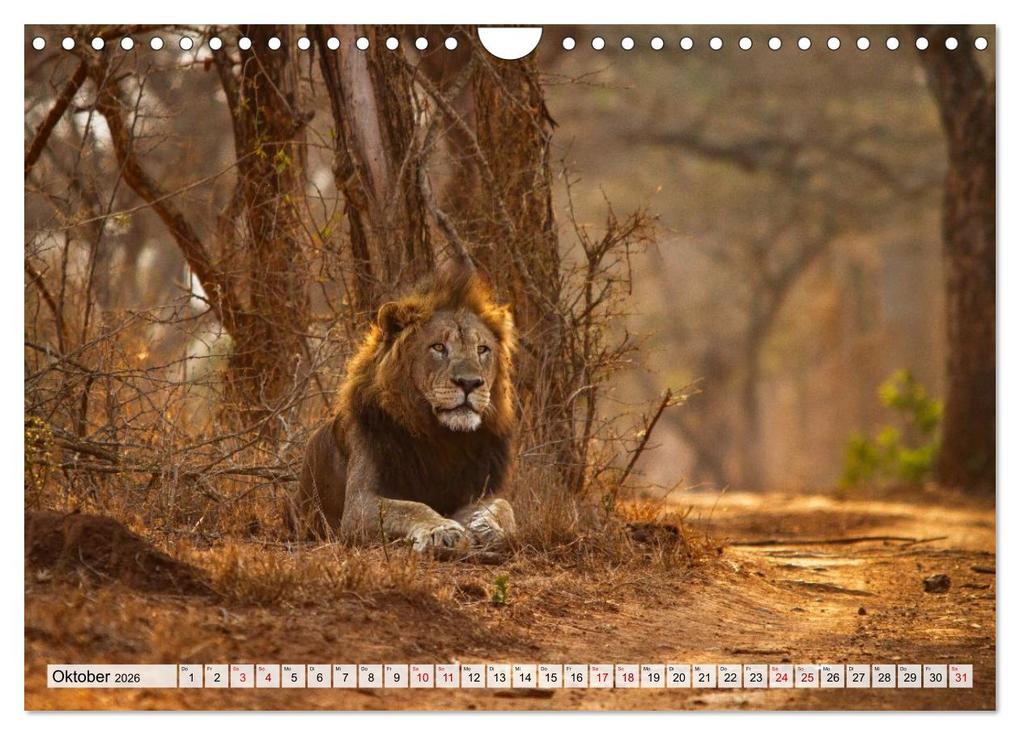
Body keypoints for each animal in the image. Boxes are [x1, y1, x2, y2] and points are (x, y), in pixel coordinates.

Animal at [287, 267, 517, 551]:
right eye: (438, 347)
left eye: (482, 349)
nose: (470, 383)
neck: (443, 439)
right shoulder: (359, 504)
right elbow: (411, 507)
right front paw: (442, 529)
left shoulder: (476, 491)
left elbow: (503, 505)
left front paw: (487, 526)